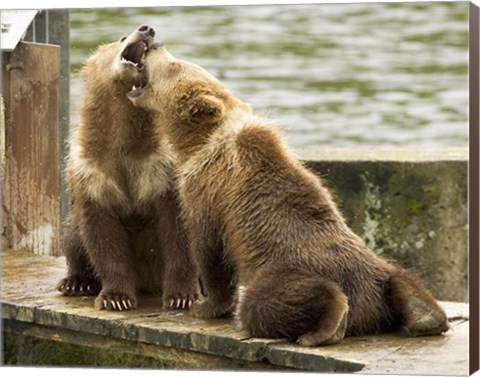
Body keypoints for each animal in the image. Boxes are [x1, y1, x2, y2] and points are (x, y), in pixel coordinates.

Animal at [55, 25, 200, 310]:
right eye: (121, 37)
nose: (147, 29)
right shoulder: (93, 171)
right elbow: (103, 236)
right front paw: (116, 298)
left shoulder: (162, 168)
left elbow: (178, 233)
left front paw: (182, 296)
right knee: (74, 235)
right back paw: (76, 282)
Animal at [128, 36, 450, 346]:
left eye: (174, 65)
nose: (154, 43)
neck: (197, 142)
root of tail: (368, 307)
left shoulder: (207, 190)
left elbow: (209, 248)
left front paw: (205, 305)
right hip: (375, 267)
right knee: (401, 275)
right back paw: (426, 316)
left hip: (282, 268)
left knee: (264, 304)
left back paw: (330, 321)